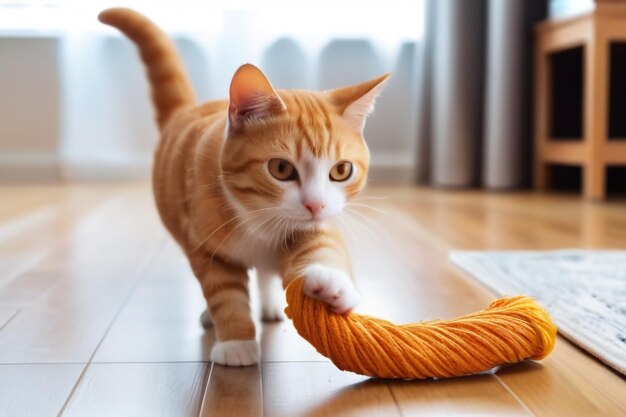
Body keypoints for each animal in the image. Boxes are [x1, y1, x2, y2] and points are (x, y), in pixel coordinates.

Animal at [98, 7, 386, 364]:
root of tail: (188, 110)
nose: (315, 204)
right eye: (281, 169)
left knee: (264, 274)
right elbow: (225, 294)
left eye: (341, 170)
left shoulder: (315, 225)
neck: (260, 219)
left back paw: (270, 304)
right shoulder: (204, 247)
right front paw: (236, 342)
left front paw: (332, 282)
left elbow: (323, 247)